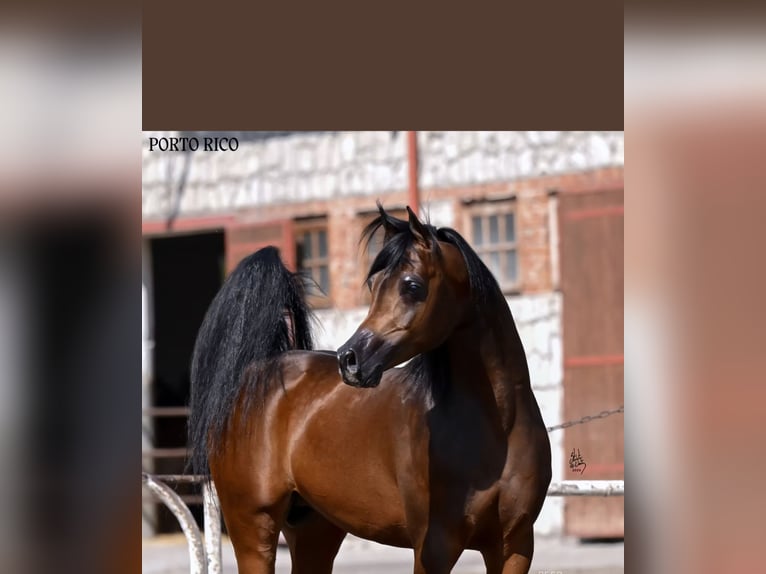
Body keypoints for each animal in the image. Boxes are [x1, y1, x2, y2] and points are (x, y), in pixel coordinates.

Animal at [188, 204, 552, 573]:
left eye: (412, 285)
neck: (497, 428)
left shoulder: (514, 546)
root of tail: (254, 374)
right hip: (253, 527)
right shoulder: (434, 547)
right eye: (374, 284)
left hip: (314, 531)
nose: (350, 360)